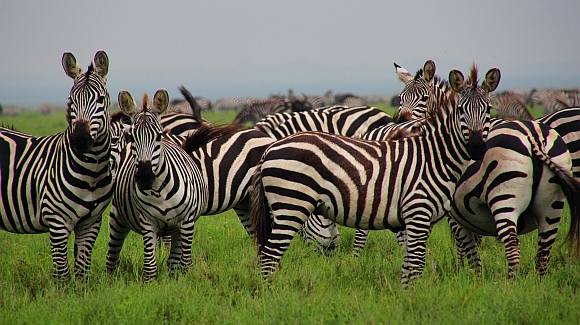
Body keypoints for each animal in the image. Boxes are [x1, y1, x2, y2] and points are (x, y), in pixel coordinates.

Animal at [0, 50, 114, 278]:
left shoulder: (91, 222)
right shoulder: (57, 221)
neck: (92, 173)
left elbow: (82, 272)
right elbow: (63, 274)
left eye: (100, 99)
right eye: (71, 100)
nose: (80, 139)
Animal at [106, 89, 208, 280]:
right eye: (131, 137)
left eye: (159, 136)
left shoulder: (187, 221)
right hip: (117, 218)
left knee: (175, 261)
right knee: (112, 257)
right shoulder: (148, 223)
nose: (145, 177)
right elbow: (150, 267)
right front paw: (150, 283)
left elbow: (184, 264)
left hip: (176, 229)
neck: (160, 192)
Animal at [249, 65, 498, 284]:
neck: (434, 156)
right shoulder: (418, 212)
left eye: (488, 110)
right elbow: (416, 265)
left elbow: (410, 264)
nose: (477, 147)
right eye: (460, 111)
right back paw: (268, 294)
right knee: (269, 257)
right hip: (291, 206)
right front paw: (414, 297)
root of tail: (270, 149)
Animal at [448, 120, 580, 278]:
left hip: (504, 194)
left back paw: (510, 282)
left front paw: (471, 276)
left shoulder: (454, 217)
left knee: (512, 245)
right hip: (552, 206)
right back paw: (539, 282)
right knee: (544, 251)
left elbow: (467, 249)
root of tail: (534, 135)